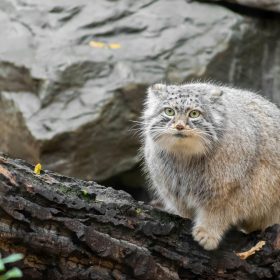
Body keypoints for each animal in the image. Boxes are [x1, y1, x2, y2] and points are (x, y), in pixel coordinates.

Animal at [141, 82, 280, 249]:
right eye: (169, 111)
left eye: (194, 113)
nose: (179, 126)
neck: (185, 158)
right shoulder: (175, 193)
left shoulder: (233, 190)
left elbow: (218, 213)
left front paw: (208, 233)